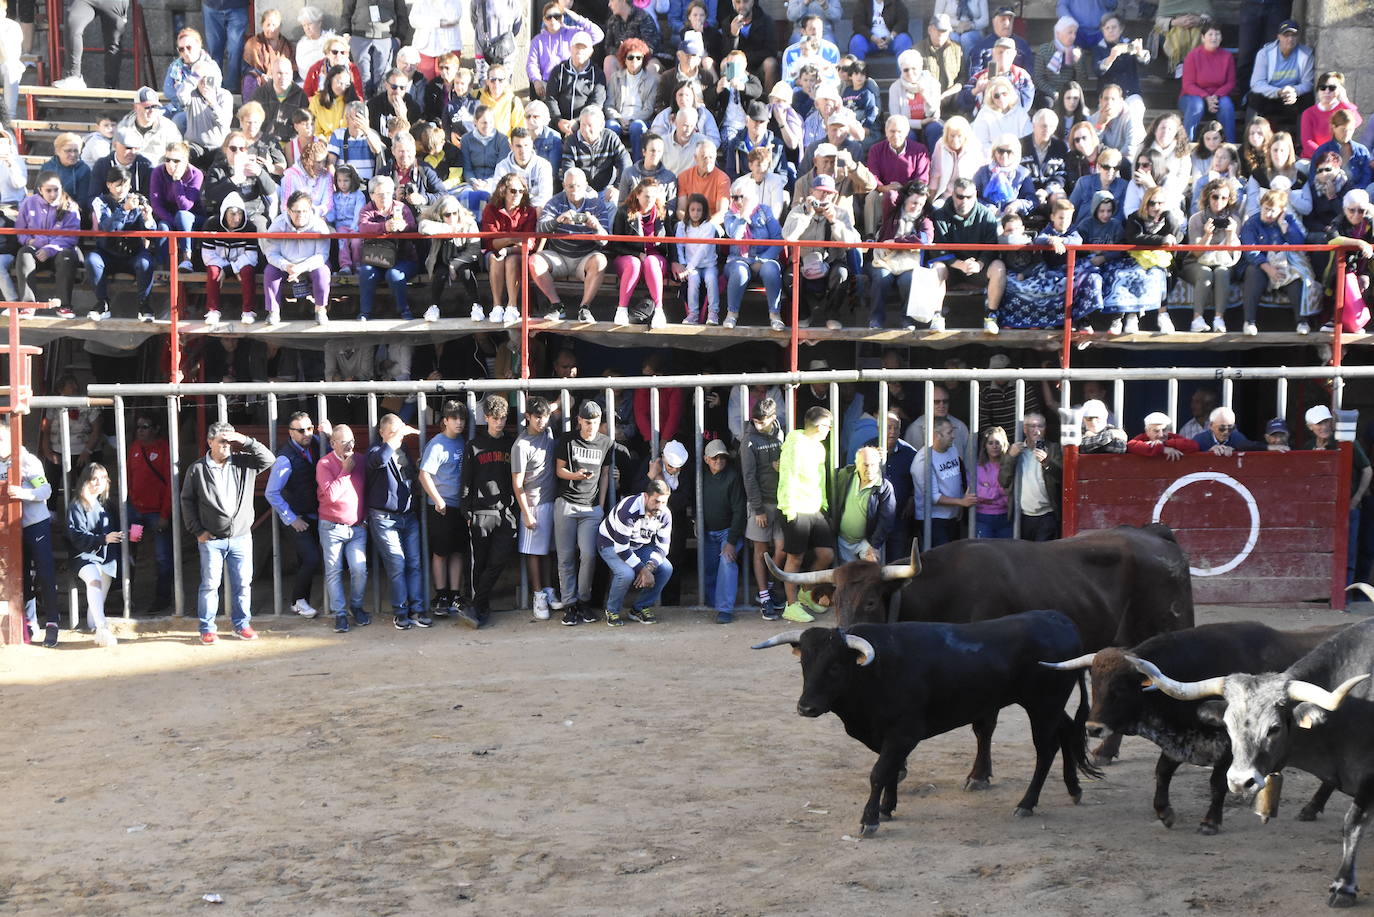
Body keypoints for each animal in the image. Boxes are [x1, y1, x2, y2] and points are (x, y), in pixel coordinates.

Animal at [758, 613, 1099, 835]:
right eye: (804, 663)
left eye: (835, 666)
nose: (806, 707)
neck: (876, 672)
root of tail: (1060, 620)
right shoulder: (886, 736)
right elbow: (891, 771)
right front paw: (887, 808)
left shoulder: (903, 734)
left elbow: (879, 772)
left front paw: (870, 819)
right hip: (1050, 707)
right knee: (1067, 732)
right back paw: (1074, 788)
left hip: (1042, 706)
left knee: (1046, 750)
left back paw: (1027, 803)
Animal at [769, 527, 1198, 786]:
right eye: (837, 601)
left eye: (872, 600)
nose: (848, 641)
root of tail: (1157, 538)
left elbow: (983, 725)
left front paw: (979, 774)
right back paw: (1107, 751)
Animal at [1038, 624, 1341, 830]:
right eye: (1095, 685)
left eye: (1121, 689)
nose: (1093, 728)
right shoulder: (1180, 741)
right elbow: (1162, 771)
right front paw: (1164, 812)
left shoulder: (1229, 747)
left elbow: (1217, 782)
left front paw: (1210, 821)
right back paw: (1311, 809)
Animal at [1126, 621, 1374, 907]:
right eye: (1227, 725)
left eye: (1274, 728)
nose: (1239, 782)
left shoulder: (1368, 782)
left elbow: (1353, 824)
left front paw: (1343, 887)